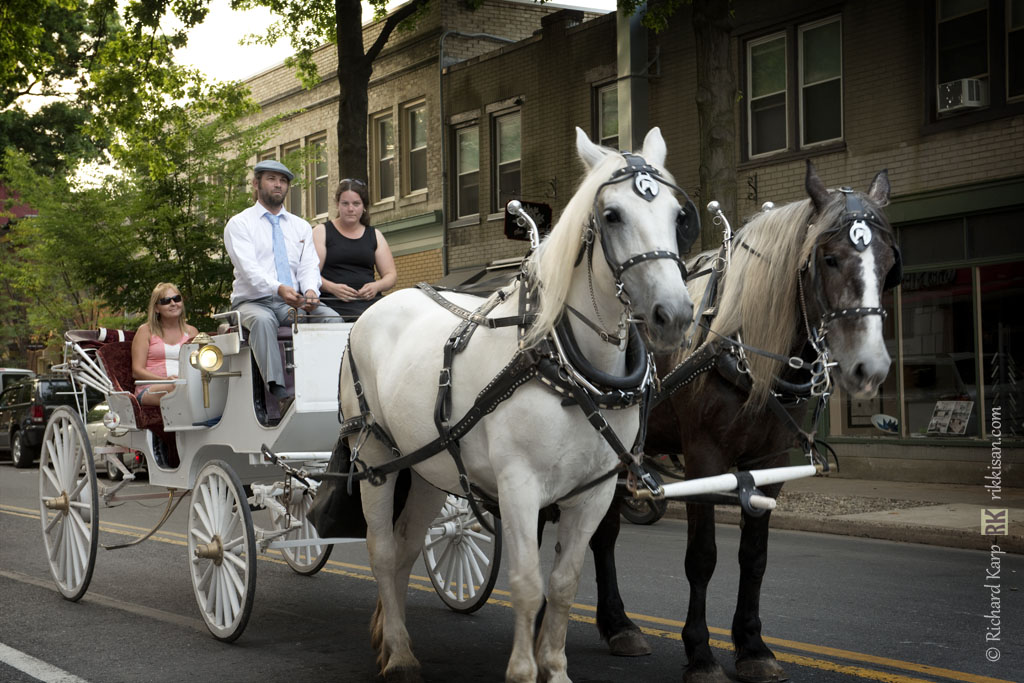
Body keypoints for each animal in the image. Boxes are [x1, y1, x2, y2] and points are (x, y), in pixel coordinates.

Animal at [339, 126, 692, 679]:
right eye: (612, 215)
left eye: (679, 216)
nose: (673, 314)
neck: (567, 366)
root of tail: (376, 306)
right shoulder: (519, 486)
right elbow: (527, 585)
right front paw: (523, 671)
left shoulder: (595, 492)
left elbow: (564, 585)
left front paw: (557, 669)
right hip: (374, 456)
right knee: (380, 549)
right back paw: (398, 654)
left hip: (428, 467)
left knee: (406, 546)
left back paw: (391, 637)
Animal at [589, 161, 901, 683]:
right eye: (829, 258)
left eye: (888, 263)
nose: (870, 368)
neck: (743, 345)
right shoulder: (703, 459)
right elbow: (702, 558)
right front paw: (701, 653)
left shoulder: (770, 461)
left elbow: (754, 558)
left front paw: (753, 647)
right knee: (603, 534)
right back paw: (616, 624)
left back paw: (616, 624)